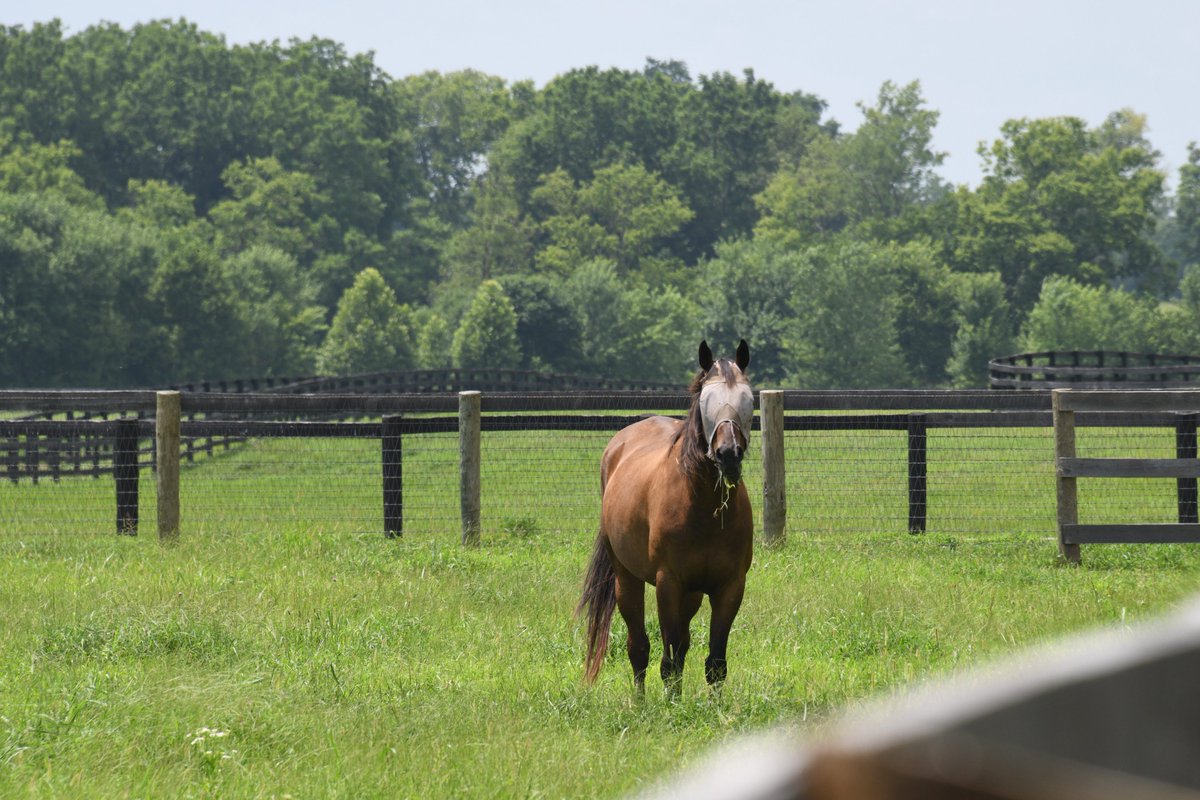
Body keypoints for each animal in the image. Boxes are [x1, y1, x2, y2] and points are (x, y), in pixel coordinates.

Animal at [577, 340, 754, 694]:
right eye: (706, 401)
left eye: (748, 400)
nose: (728, 455)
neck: (702, 507)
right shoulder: (668, 584)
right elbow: (668, 660)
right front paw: (672, 705)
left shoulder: (730, 586)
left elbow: (715, 662)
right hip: (627, 580)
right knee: (638, 648)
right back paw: (640, 701)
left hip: (693, 593)